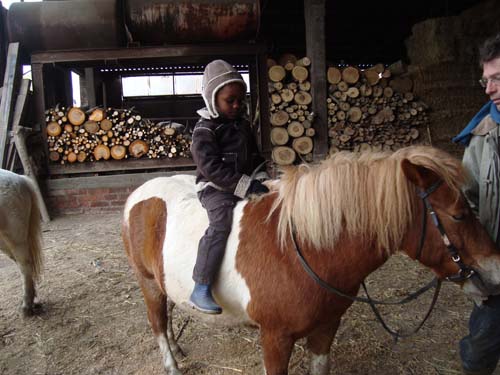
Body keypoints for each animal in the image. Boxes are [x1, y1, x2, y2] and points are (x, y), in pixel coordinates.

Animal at [123, 147, 500, 375]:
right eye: (459, 214)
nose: (496, 269)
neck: (302, 250)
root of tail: (139, 194)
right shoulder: (275, 339)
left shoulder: (326, 327)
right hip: (147, 282)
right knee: (158, 322)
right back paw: (171, 363)